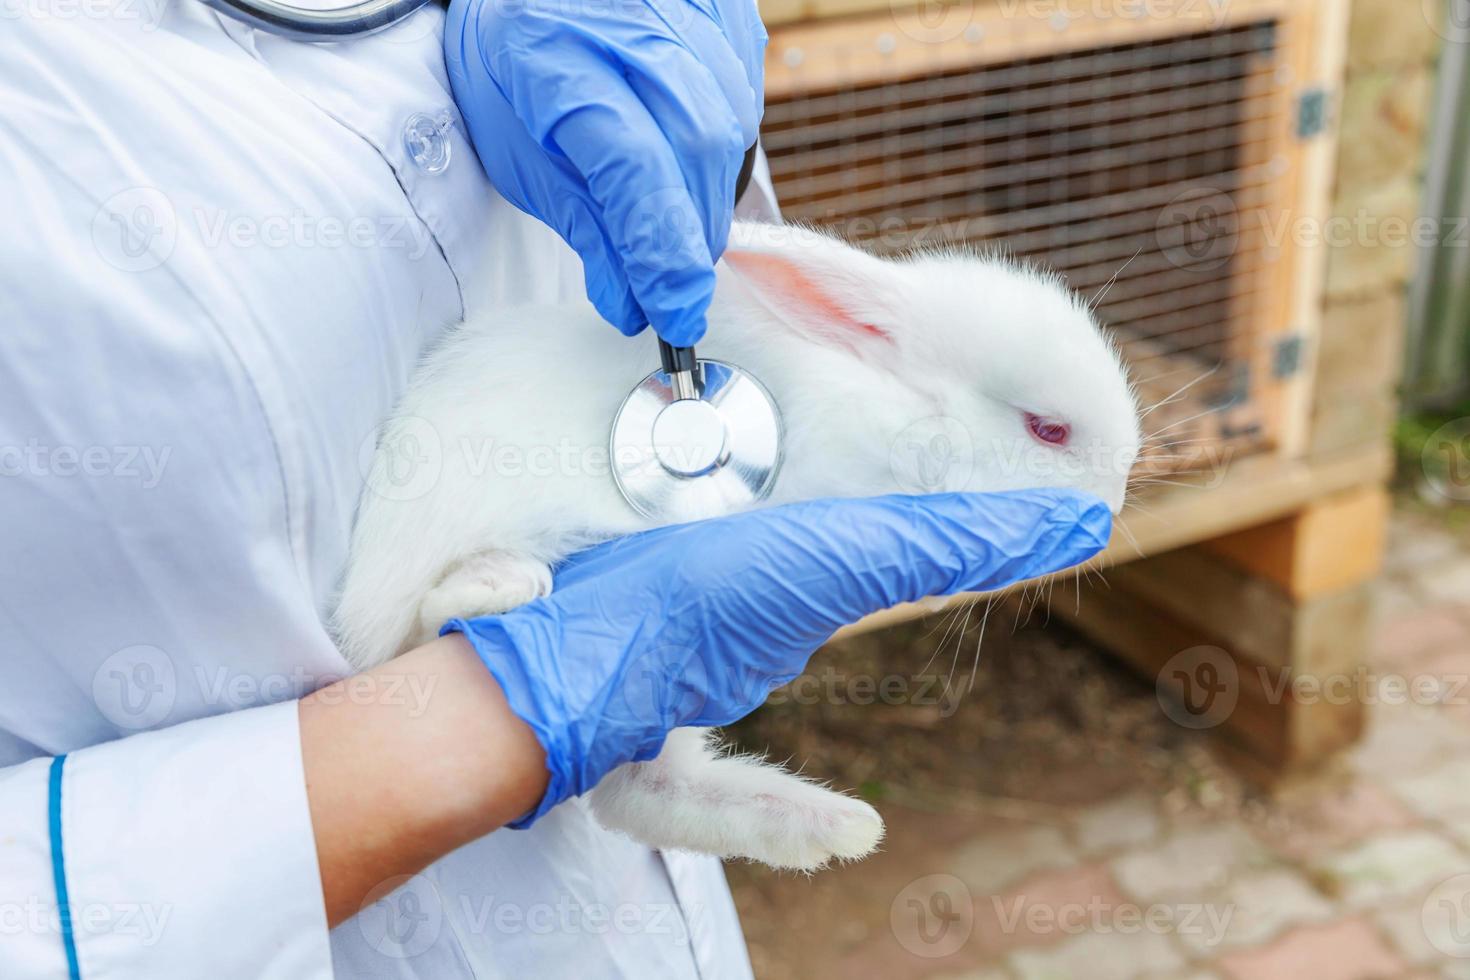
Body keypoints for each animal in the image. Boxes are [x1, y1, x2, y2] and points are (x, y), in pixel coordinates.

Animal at [338, 224, 1140, 875]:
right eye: (1048, 429)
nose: (1115, 497)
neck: (896, 408)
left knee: (643, 792)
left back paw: (841, 827)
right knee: (425, 644)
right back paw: (496, 586)